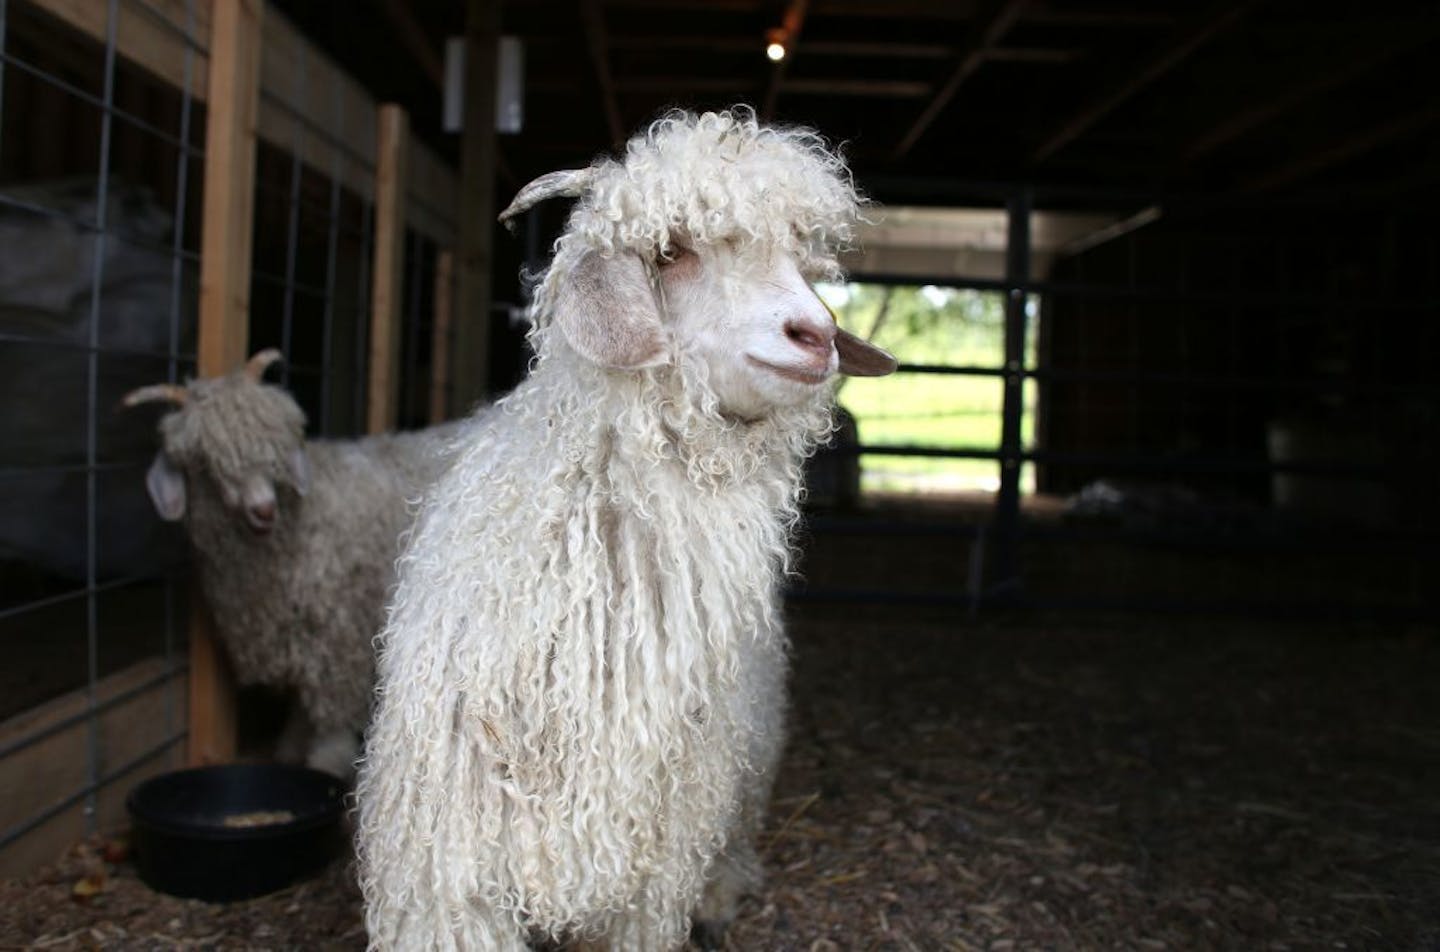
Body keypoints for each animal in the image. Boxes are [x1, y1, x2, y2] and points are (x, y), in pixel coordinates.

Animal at [126, 351, 460, 777]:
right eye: (203, 464)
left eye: (278, 448)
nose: (263, 509)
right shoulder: (297, 632)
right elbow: (302, 700)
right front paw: (292, 744)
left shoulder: (339, 631)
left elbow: (332, 705)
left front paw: (326, 759)